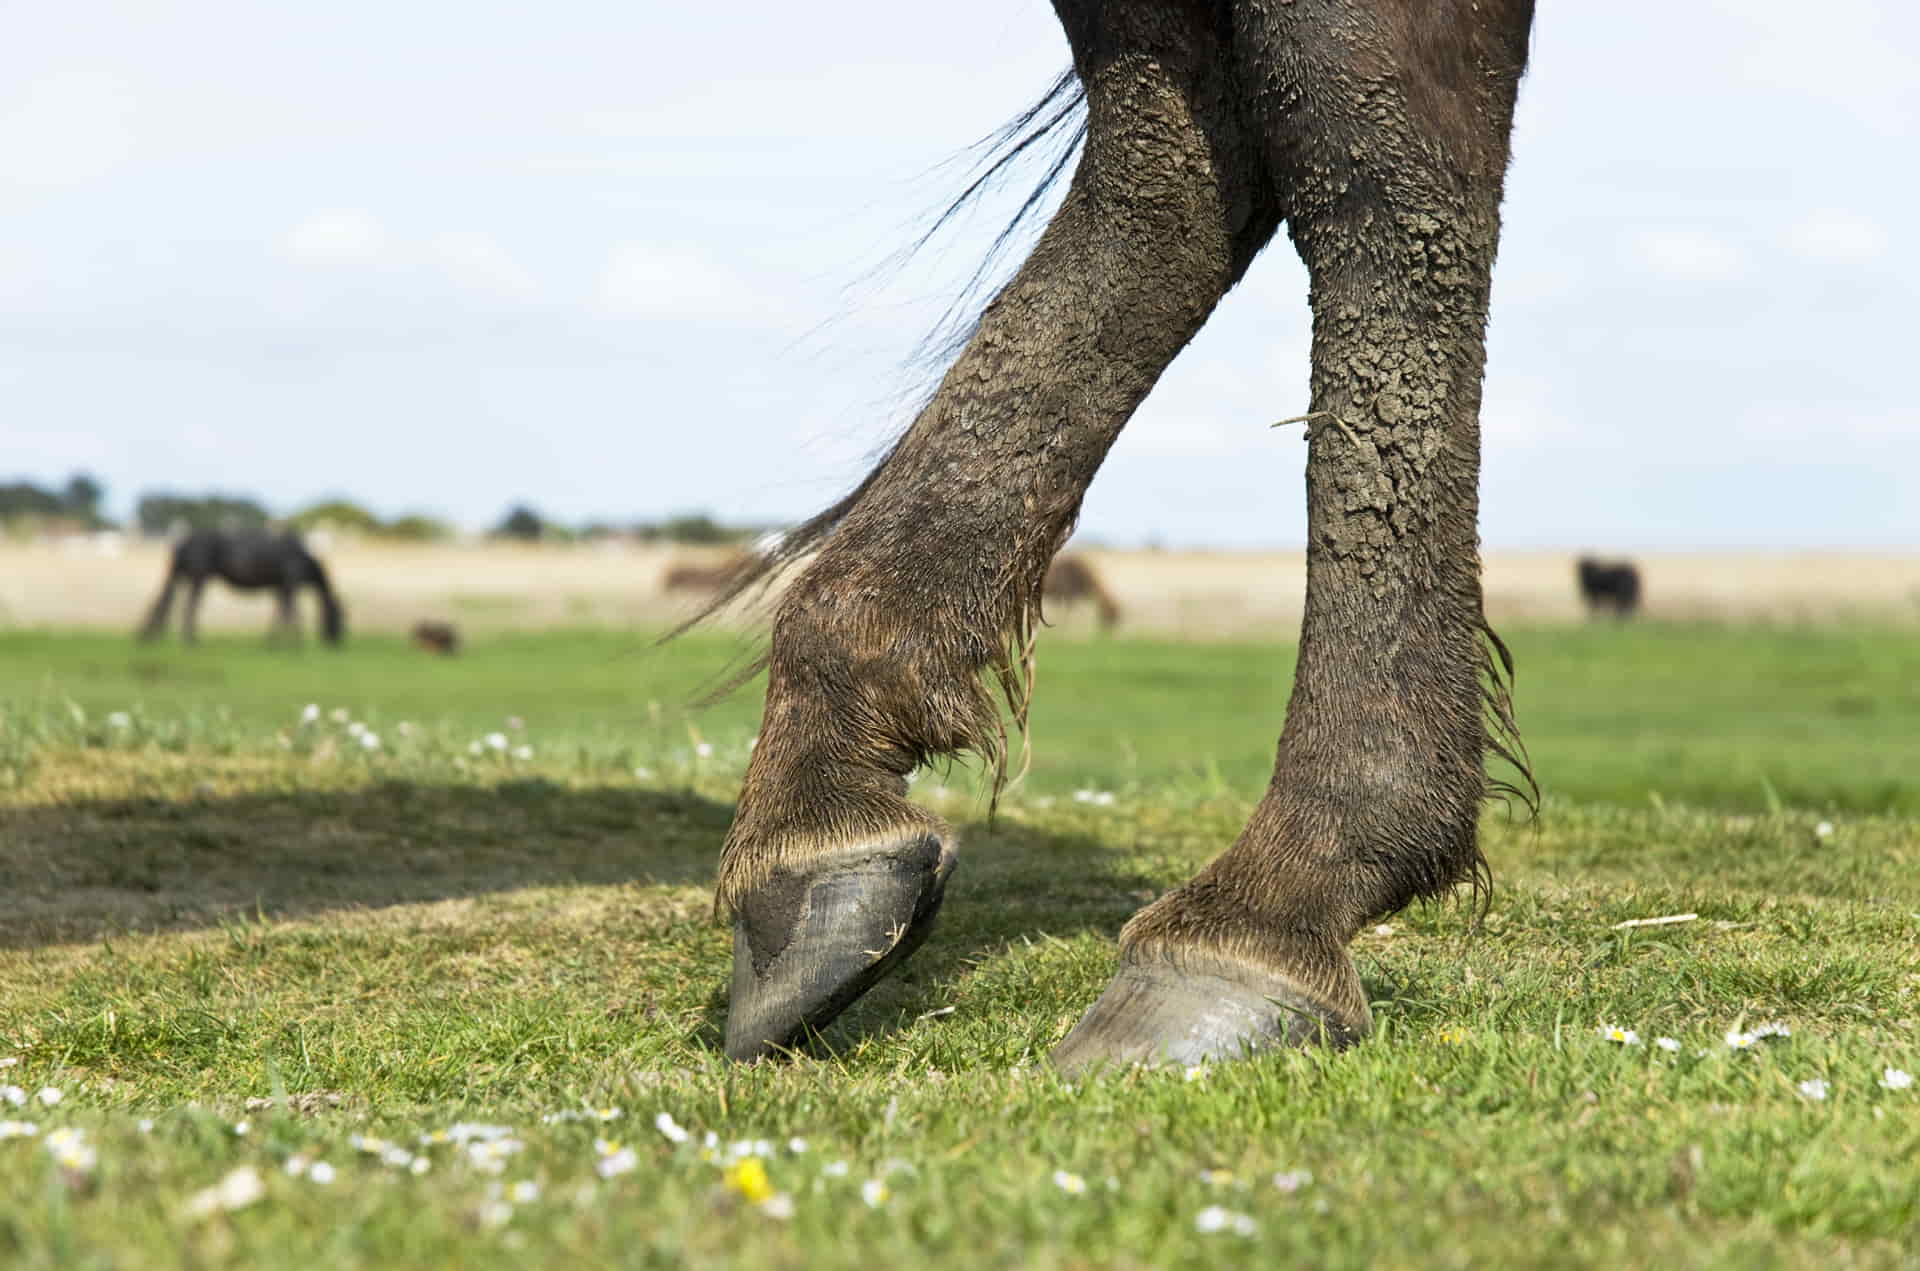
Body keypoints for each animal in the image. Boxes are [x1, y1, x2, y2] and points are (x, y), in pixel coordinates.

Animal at [138, 528, 345, 646]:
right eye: (340, 616)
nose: (338, 642)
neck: (304, 560)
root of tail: (182, 543)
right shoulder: (289, 584)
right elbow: (293, 612)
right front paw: (296, 644)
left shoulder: (279, 588)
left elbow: (279, 613)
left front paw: (272, 642)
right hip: (199, 577)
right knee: (190, 606)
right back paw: (191, 641)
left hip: (185, 576)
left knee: (168, 602)